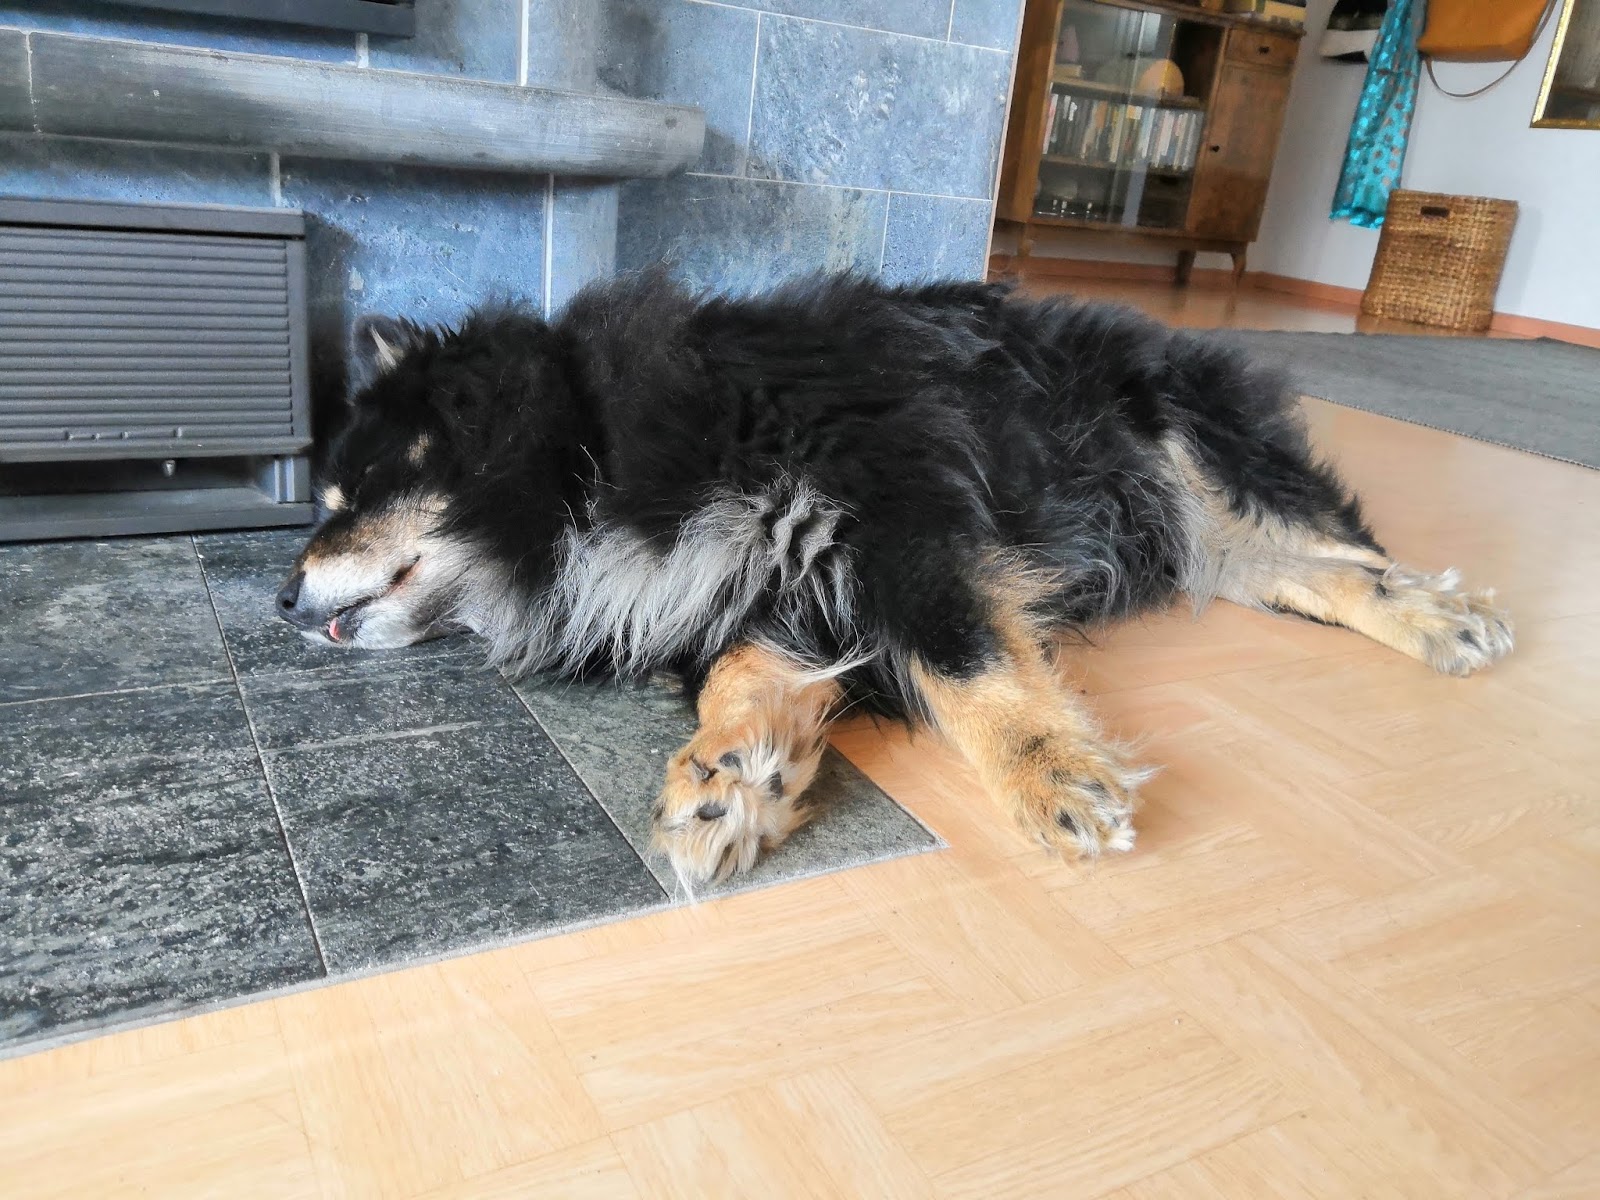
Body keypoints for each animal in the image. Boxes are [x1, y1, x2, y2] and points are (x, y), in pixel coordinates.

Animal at [276, 271, 1513, 886]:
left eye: (346, 494)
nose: (280, 600)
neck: (591, 450)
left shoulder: (897, 521)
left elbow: (967, 668)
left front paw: (1050, 776)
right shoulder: (761, 590)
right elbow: (740, 680)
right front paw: (731, 778)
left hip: (1192, 454)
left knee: (1341, 545)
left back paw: (1446, 609)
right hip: (1192, 531)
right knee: (1303, 572)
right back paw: (1435, 620)